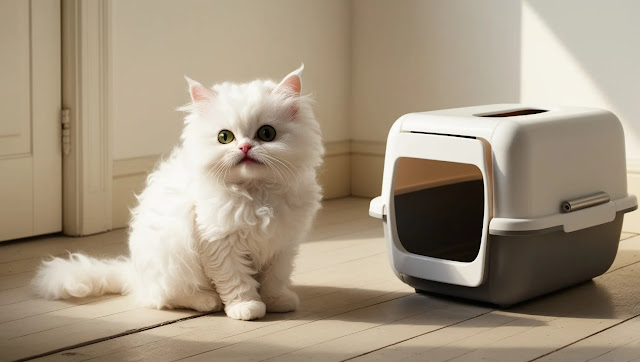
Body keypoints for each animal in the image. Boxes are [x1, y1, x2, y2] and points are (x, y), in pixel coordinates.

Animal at [31, 65, 322, 320]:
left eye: (266, 134)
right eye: (225, 137)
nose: (245, 148)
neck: (257, 193)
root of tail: (134, 274)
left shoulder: (282, 246)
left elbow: (274, 280)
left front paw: (276, 301)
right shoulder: (219, 242)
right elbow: (236, 281)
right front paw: (247, 308)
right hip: (173, 255)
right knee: (164, 299)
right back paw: (207, 301)